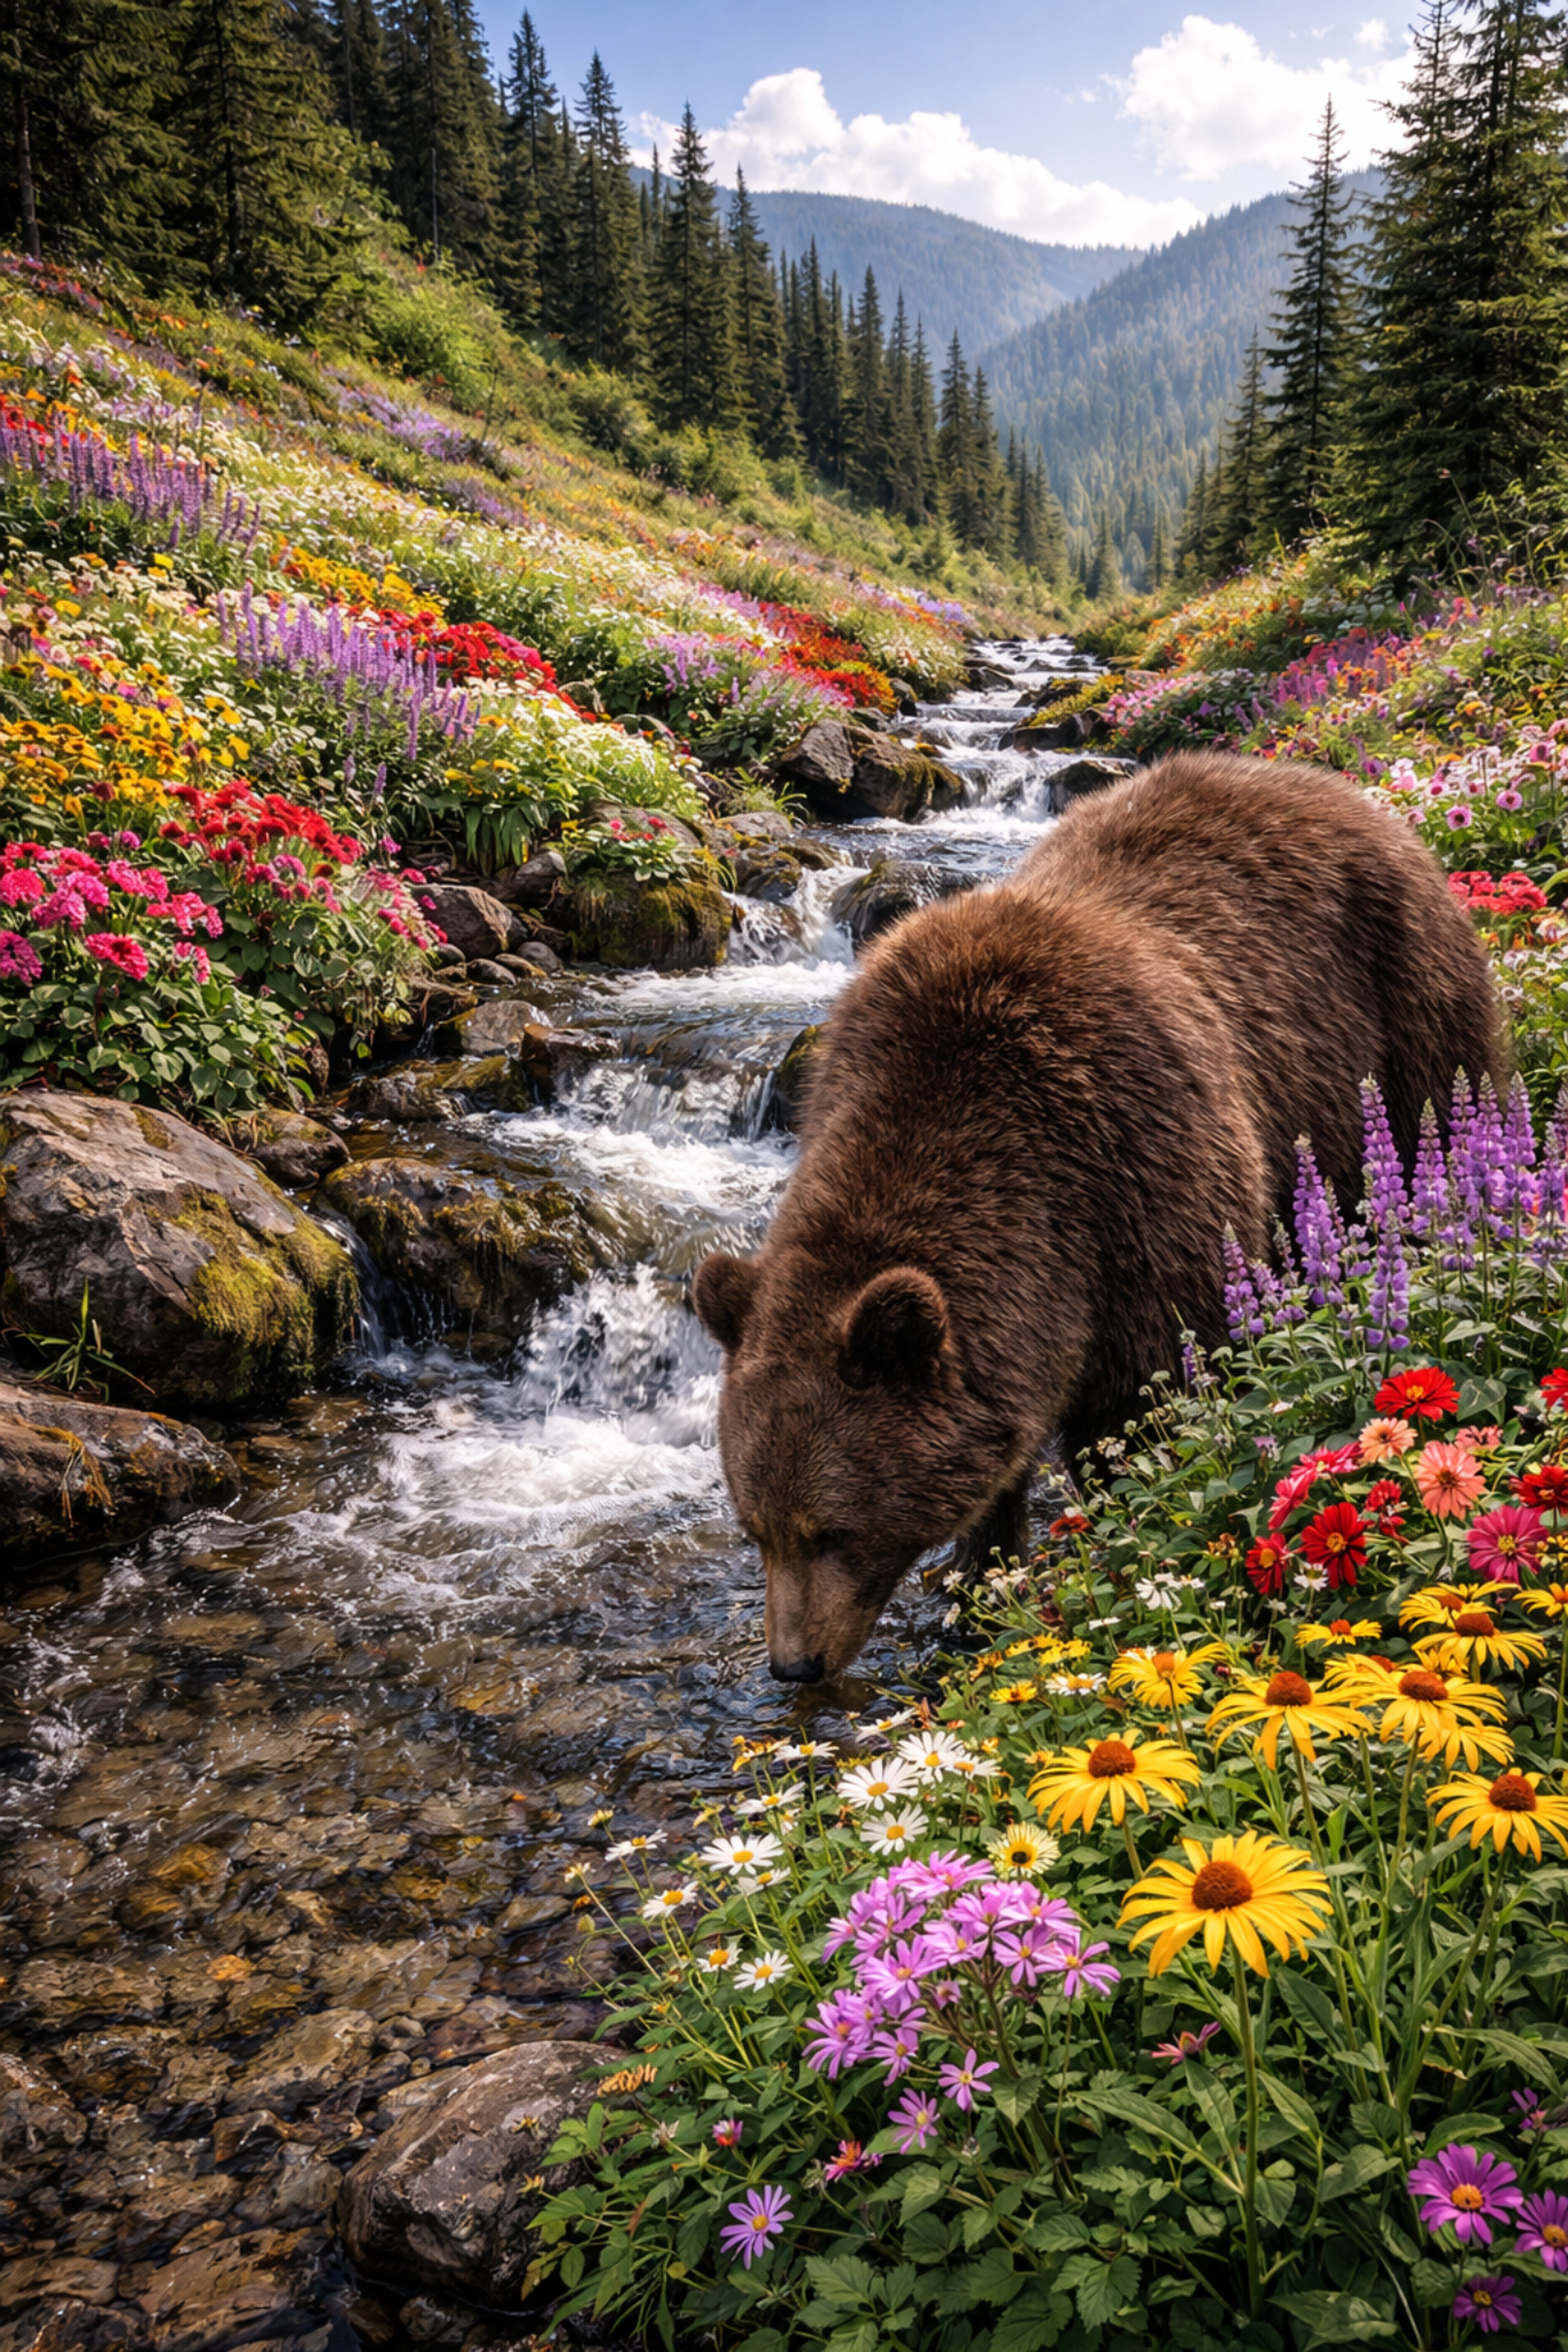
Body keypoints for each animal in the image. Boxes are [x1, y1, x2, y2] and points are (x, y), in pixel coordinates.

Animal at [693, 751, 1507, 1684]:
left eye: (832, 1531)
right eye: (756, 1527)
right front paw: (979, 1580)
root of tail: (1330, 787)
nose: (794, 1663)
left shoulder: (1137, 1179)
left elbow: (1148, 1409)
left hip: (1400, 1013)